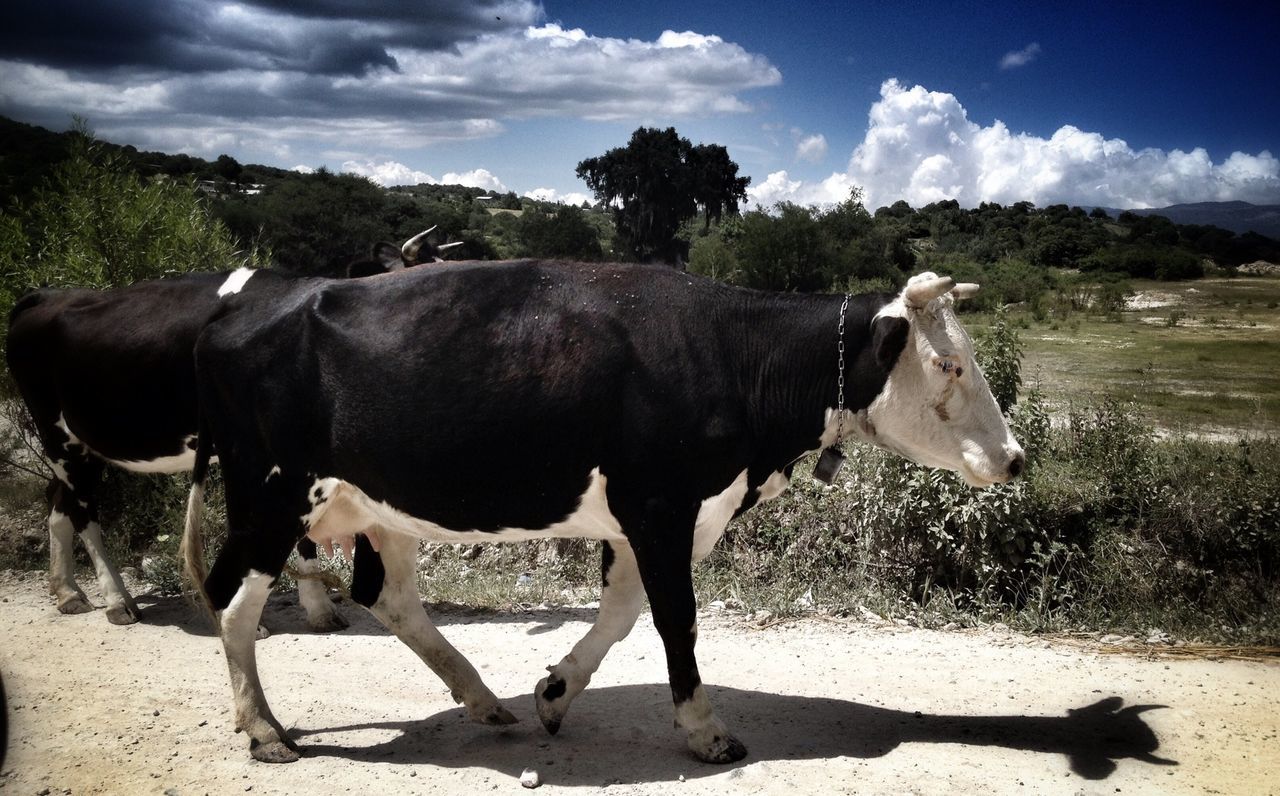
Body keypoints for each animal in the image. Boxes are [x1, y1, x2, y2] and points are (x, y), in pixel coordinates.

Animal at [2, 227, 453, 627]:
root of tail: (46, 294)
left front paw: (318, 609)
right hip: (54, 429)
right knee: (83, 510)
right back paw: (117, 601)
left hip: (83, 438)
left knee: (58, 499)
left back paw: (68, 593)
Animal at [183, 263, 1018, 767]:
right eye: (948, 364)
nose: (1014, 458)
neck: (731, 355)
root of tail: (241, 311)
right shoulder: (662, 505)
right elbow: (677, 618)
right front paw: (705, 730)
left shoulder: (645, 518)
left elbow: (620, 614)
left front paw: (554, 694)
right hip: (270, 496)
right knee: (234, 599)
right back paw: (263, 728)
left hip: (380, 507)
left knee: (385, 596)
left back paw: (482, 700)